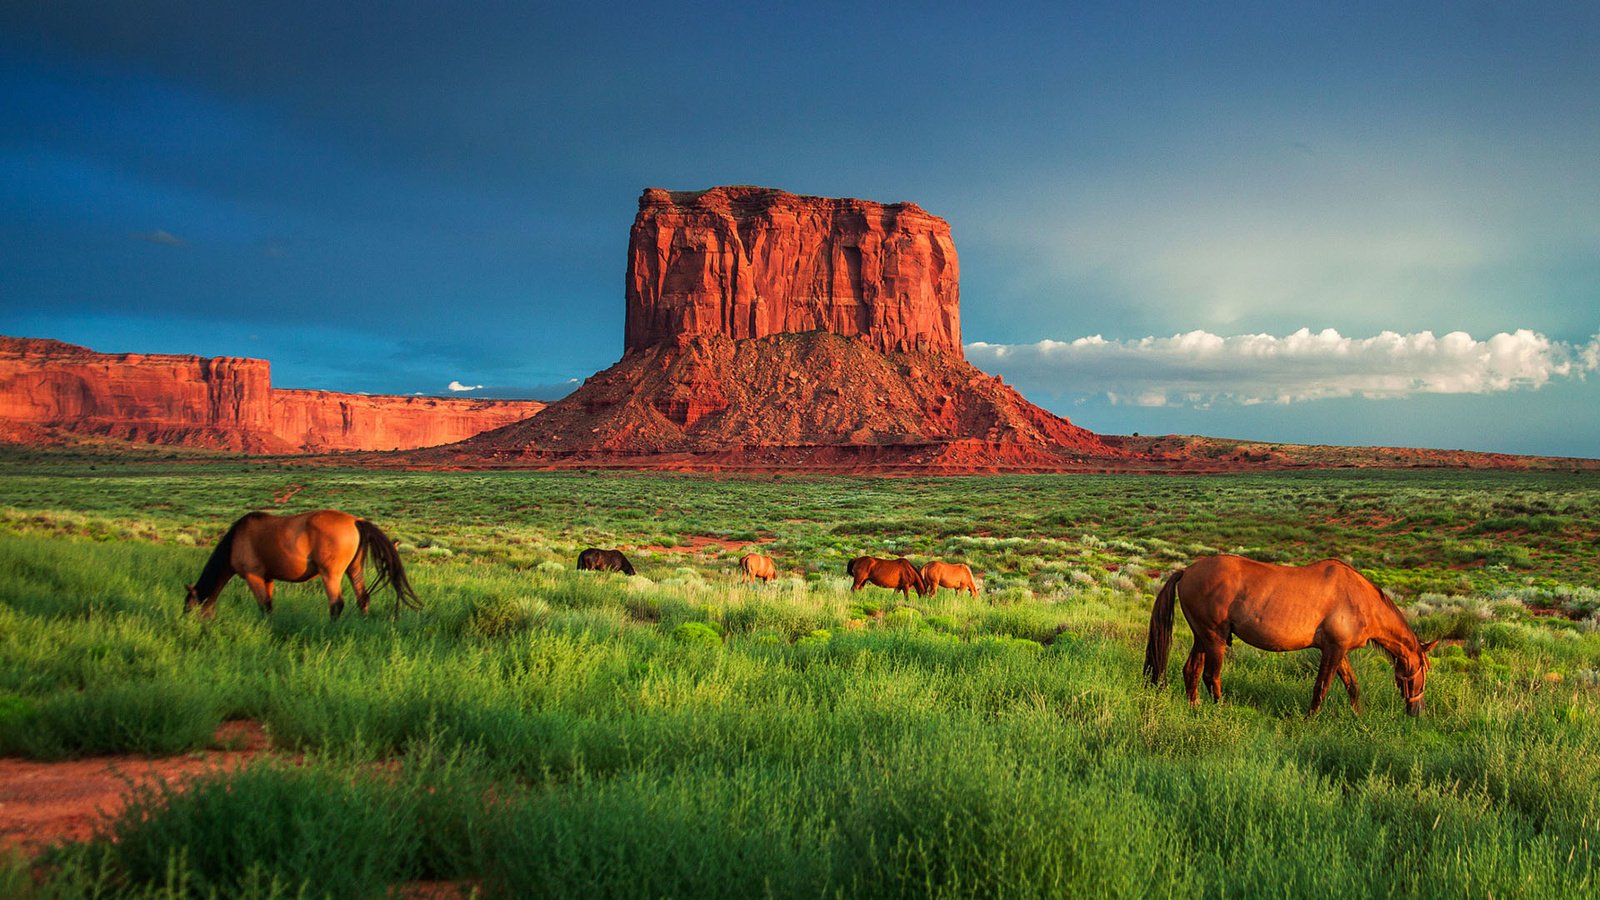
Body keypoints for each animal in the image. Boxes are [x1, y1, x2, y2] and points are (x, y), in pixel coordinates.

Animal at [184, 509, 419, 621]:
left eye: (189, 607)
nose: (187, 625)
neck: (236, 541)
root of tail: (355, 521)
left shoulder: (253, 577)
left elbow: (264, 606)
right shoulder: (268, 578)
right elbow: (269, 606)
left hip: (331, 574)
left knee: (336, 604)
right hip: (354, 569)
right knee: (363, 598)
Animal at [1145, 554, 1446, 714]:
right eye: (1423, 671)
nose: (1417, 712)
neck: (1360, 600)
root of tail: (1187, 571)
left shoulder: (1338, 651)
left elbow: (1352, 686)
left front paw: (1358, 717)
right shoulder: (1333, 651)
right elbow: (1321, 687)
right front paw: (1310, 720)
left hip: (1202, 638)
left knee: (1191, 671)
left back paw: (1194, 708)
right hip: (1214, 639)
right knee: (1211, 676)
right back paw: (1220, 710)